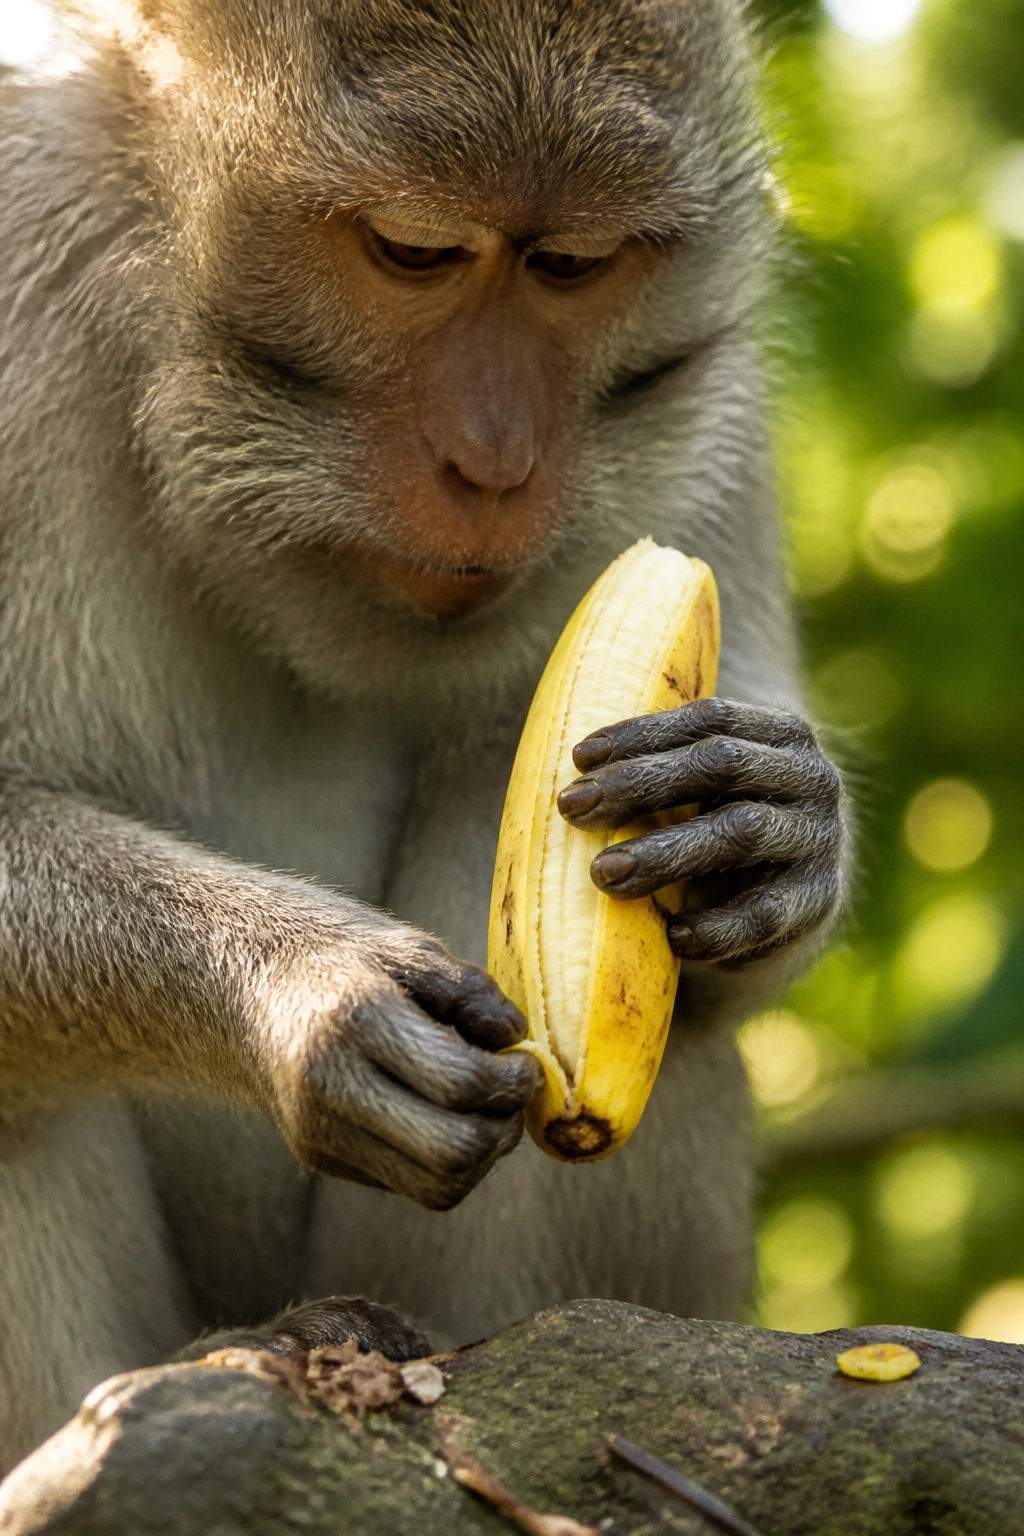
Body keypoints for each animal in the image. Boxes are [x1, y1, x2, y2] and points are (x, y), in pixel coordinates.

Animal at [0, 0, 846, 1474]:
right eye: (413, 253)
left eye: (572, 267)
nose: (495, 466)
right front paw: (311, 992)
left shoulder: (712, 416)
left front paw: (774, 833)